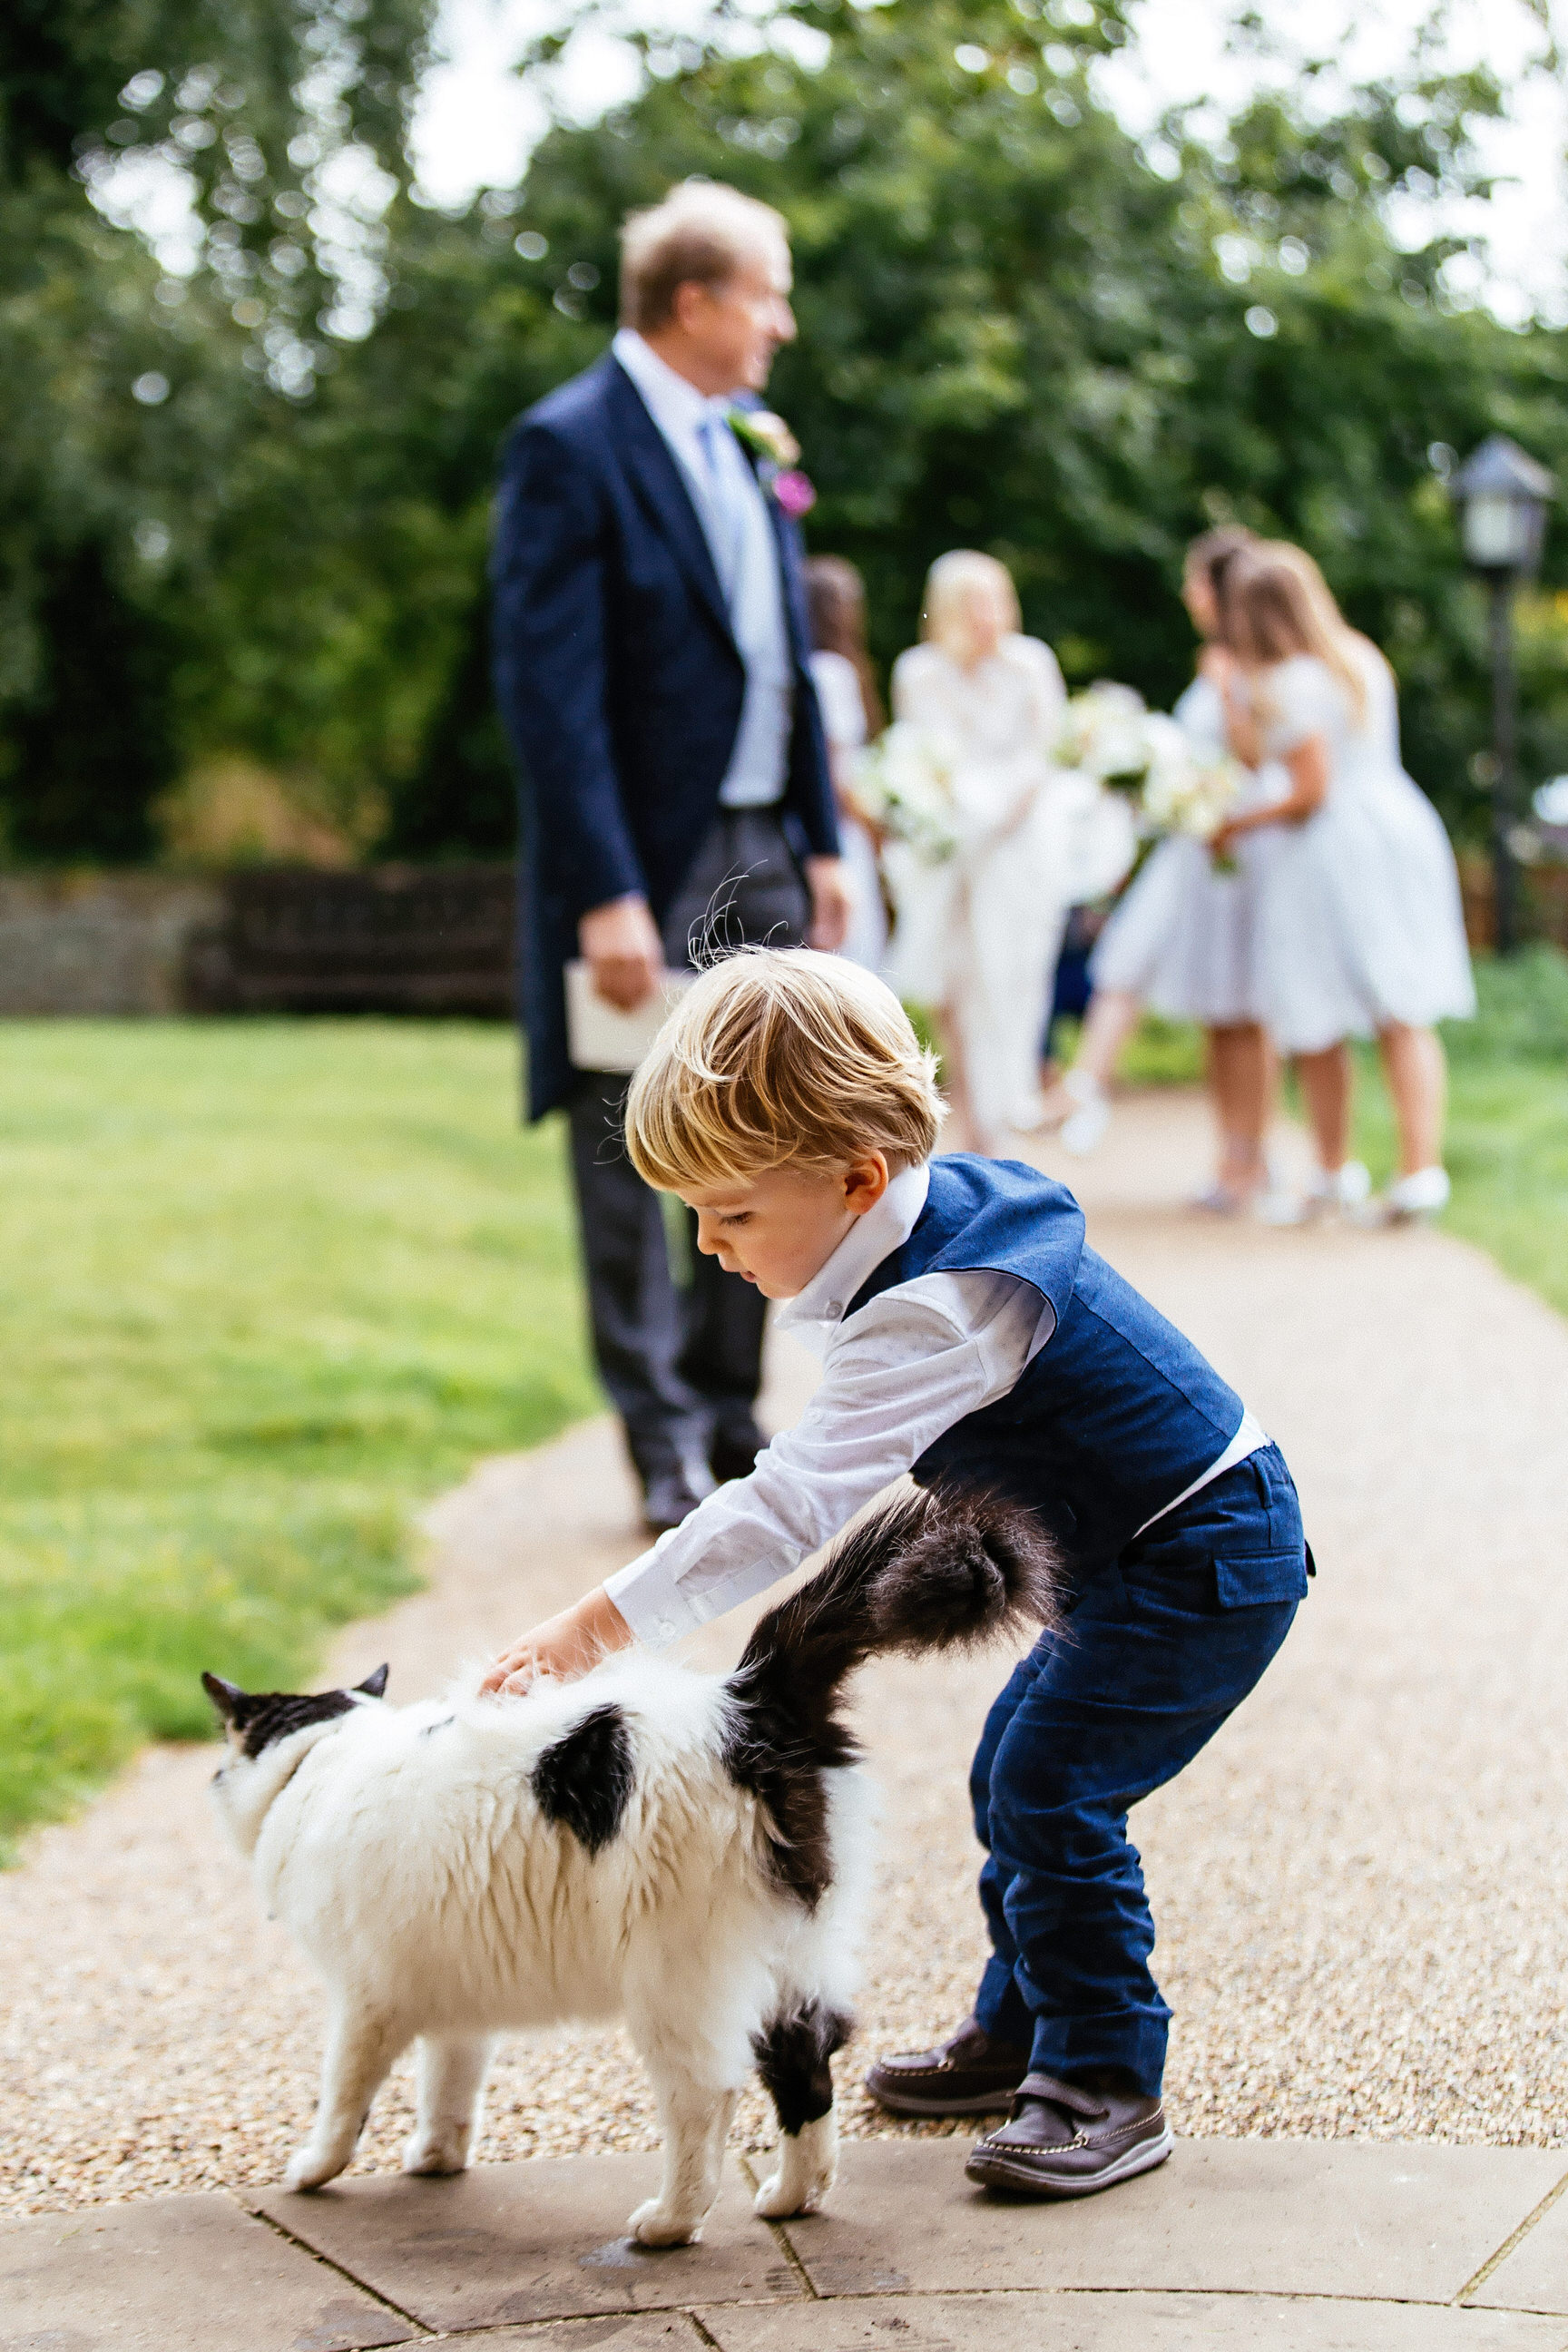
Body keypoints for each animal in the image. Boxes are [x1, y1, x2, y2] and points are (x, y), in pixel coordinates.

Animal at [205, 1486, 1053, 2239]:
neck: (325, 1757)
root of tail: (750, 1703)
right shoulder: (455, 1998)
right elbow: (450, 2089)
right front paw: (436, 2158)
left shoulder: (365, 2001)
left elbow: (344, 2099)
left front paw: (313, 2170)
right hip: (796, 1960)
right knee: (808, 2072)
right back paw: (791, 2200)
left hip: (677, 1981)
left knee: (707, 2099)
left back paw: (671, 2223)